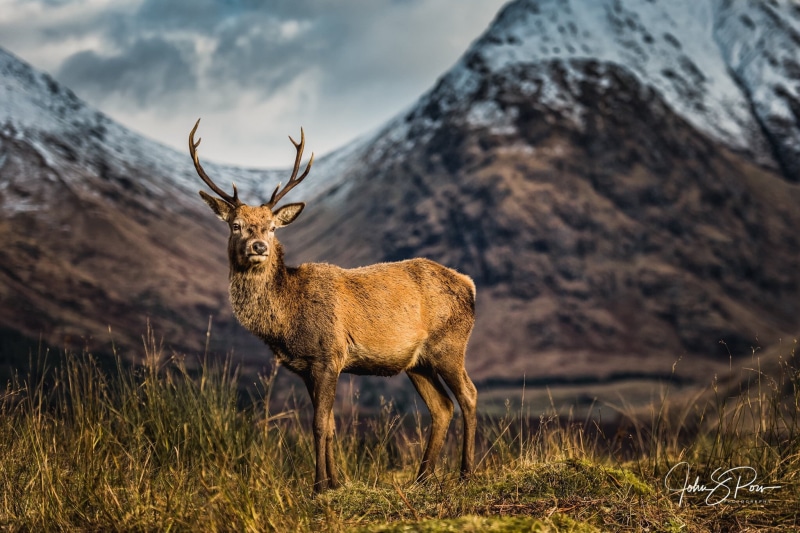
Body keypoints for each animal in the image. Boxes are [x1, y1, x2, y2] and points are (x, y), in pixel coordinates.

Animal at [188, 119, 478, 492]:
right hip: (418, 362)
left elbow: (318, 424)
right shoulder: (305, 366)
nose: (258, 246)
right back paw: (422, 477)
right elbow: (329, 426)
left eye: (272, 228)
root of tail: (470, 285)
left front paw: (318, 486)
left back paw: (466, 473)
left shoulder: (329, 355)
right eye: (235, 225)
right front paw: (335, 482)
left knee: (468, 395)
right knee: (441, 407)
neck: (287, 319)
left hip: (450, 344)